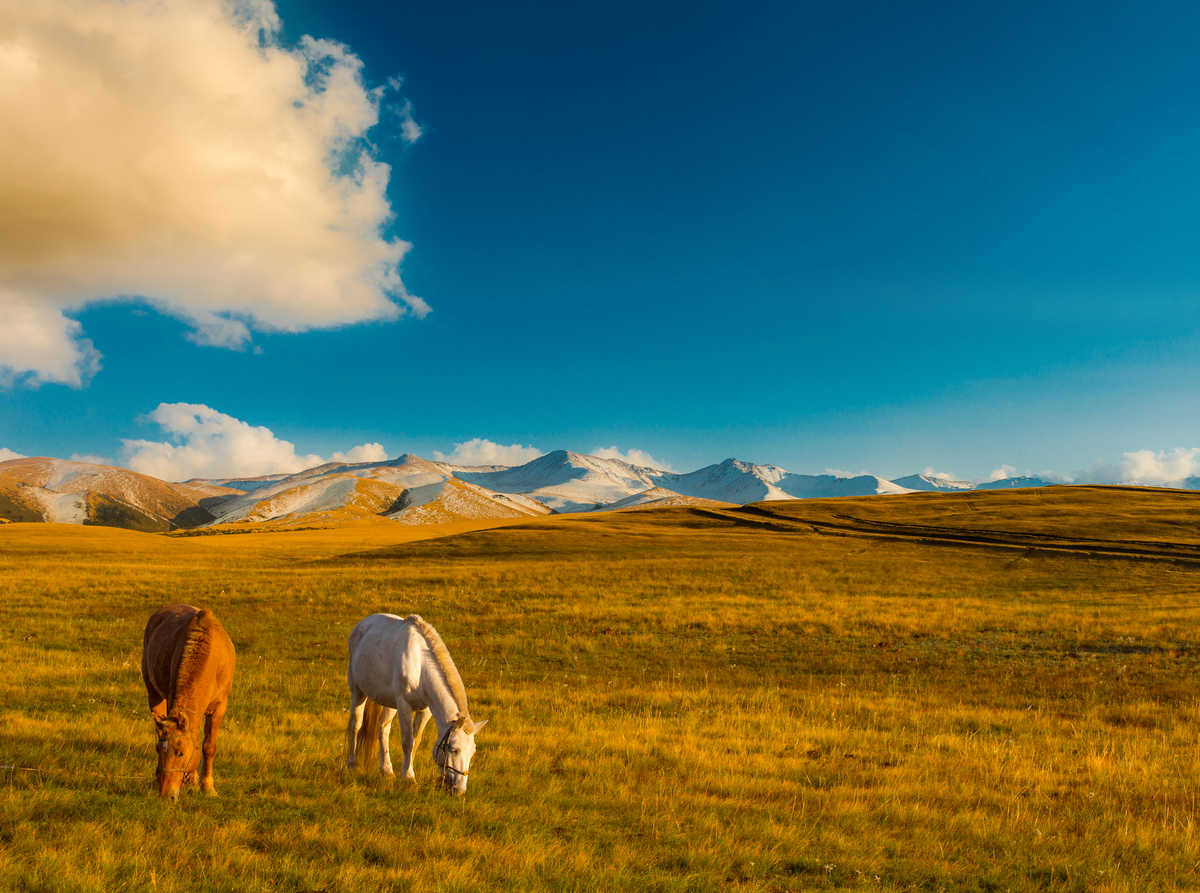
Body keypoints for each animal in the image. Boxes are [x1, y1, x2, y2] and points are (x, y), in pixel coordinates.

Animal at [141, 602, 235, 796]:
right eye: (159, 751)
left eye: (181, 753)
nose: (166, 793)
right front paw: (192, 780)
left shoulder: (219, 707)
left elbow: (208, 746)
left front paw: (207, 786)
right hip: (153, 693)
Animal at [345, 614, 484, 796]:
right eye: (454, 749)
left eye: (473, 751)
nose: (459, 789)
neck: (420, 666)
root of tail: (362, 624)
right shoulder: (404, 706)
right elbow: (407, 742)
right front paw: (409, 778)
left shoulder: (425, 711)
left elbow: (415, 742)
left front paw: (407, 772)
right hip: (358, 691)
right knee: (355, 725)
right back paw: (352, 764)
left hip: (389, 702)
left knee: (383, 729)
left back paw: (387, 770)